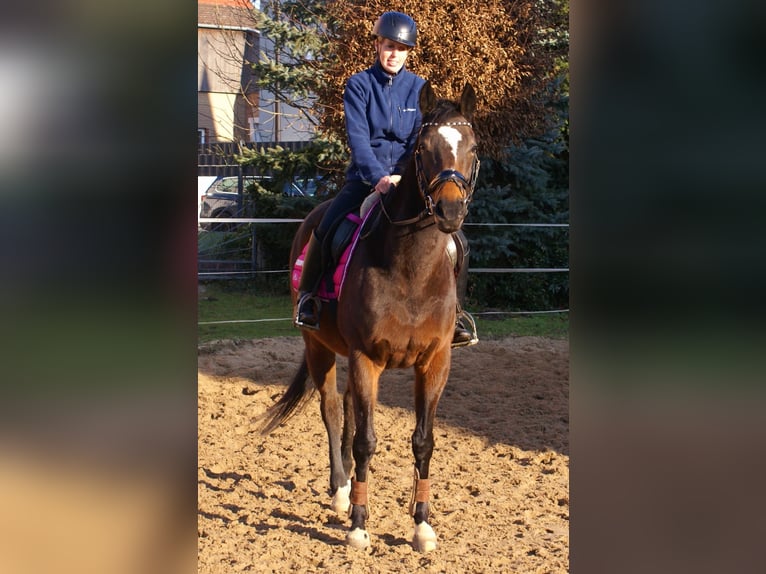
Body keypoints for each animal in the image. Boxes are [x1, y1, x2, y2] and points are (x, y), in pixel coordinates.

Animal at [258, 81, 479, 553]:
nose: (449, 212)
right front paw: (359, 525)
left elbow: (423, 441)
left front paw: (421, 525)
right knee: (331, 409)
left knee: (346, 407)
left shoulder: (435, 363)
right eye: (424, 149)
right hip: (318, 347)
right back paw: (341, 491)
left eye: (471, 147)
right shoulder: (365, 359)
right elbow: (364, 441)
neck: (411, 269)